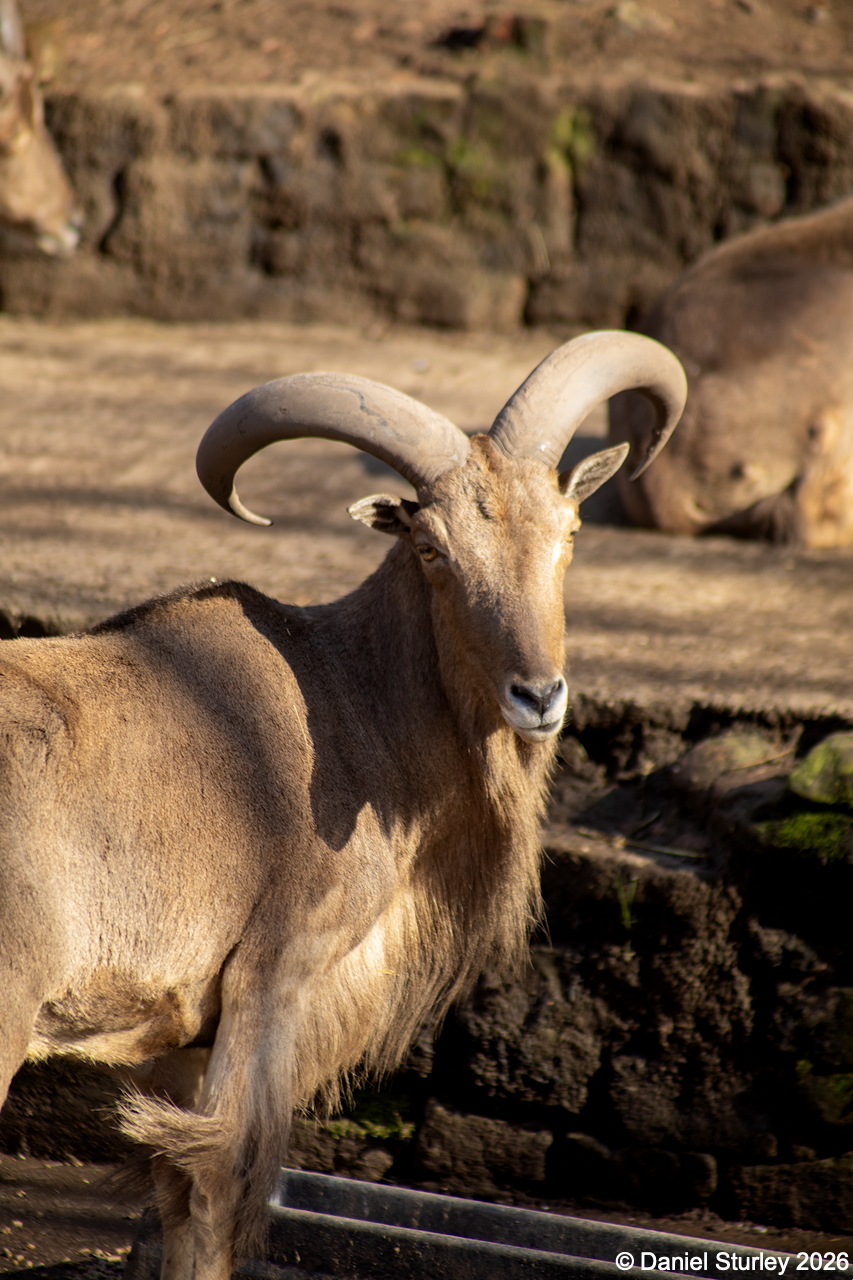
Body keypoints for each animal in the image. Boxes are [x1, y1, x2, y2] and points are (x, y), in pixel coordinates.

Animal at [0, 330, 686, 1280]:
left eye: (568, 531)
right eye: (432, 548)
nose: (537, 695)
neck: (346, 697)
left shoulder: (184, 1038)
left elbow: (173, 1192)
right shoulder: (271, 980)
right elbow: (216, 1191)